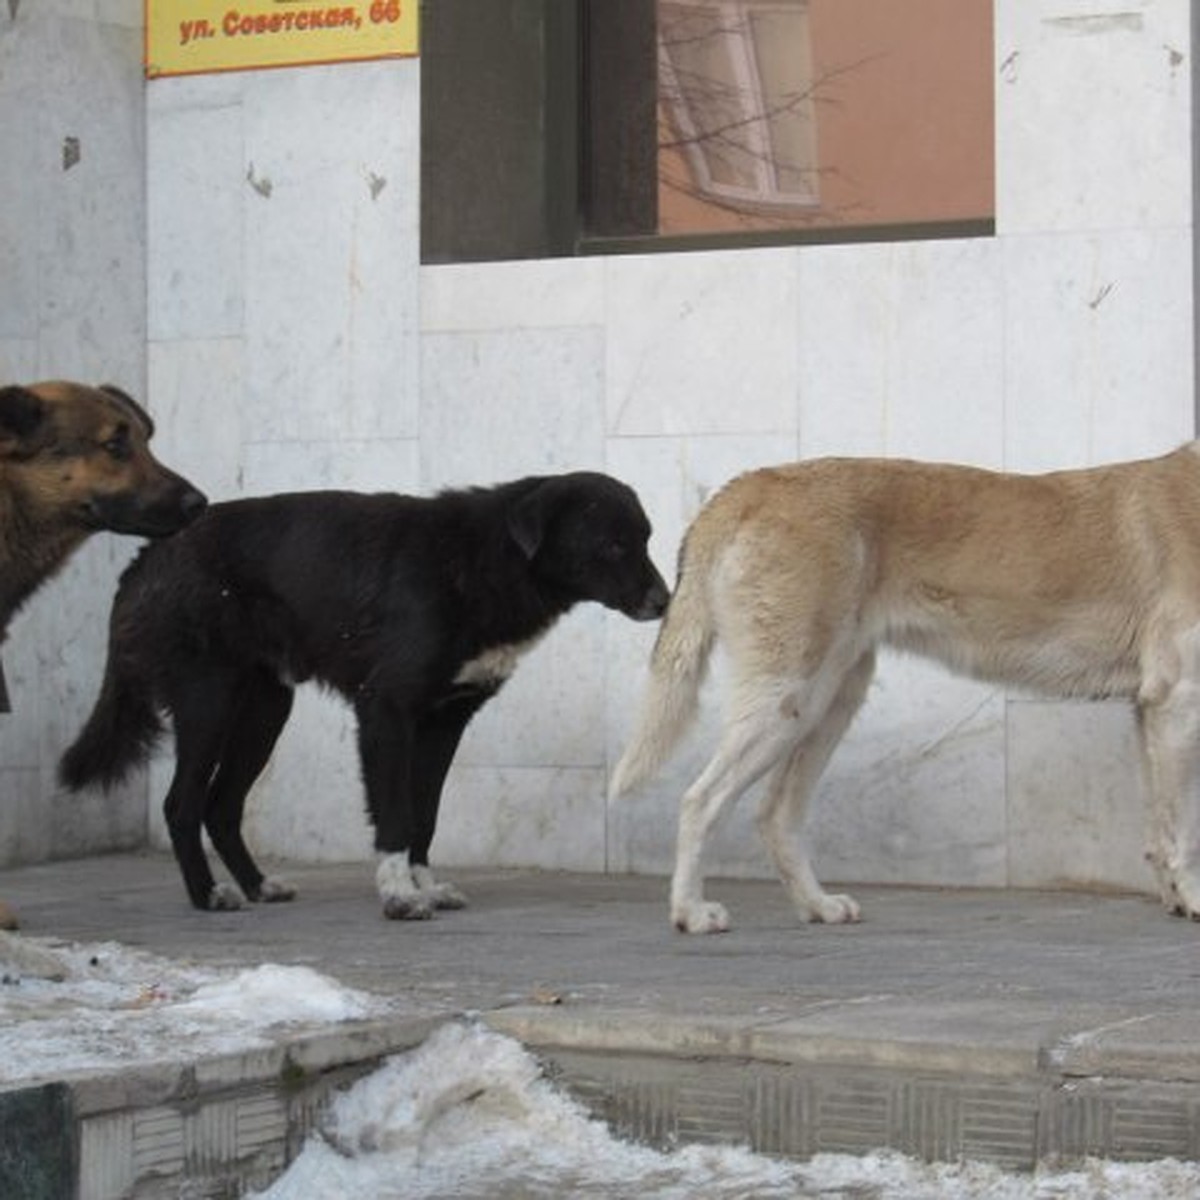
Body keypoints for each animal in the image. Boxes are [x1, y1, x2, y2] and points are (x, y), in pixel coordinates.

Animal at [60, 472, 672, 912]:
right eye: (613, 544)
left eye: (646, 539)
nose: (665, 601)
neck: (484, 558)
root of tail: (148, 556)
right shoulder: (387, 710)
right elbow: (396, 813)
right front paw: (398, 893)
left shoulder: (444, 722)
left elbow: (425, 814)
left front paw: (425, 885)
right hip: (207, 700)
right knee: (182, 804)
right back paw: (208, 895)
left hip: (264, 710)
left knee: (222, 806)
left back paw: (258, 886)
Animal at [614, 446, 1200, 931]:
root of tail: (745, 488)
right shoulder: (1180, 703)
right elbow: (1186, 828)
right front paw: (1193, 901)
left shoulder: (1148, 709)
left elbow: (1160, 827)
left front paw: (1175, 899)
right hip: (785, 699)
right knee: (701, 800)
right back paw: (691, 912)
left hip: (827, 703)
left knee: (775, 815)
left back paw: (818, 906)